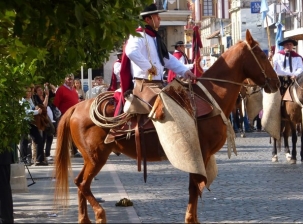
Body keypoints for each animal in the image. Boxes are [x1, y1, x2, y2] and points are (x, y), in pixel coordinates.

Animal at [52, 30, 280, 224]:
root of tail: (75, 107)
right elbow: (194, 187)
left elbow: (194, 187)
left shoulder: (200, 156)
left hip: (92, 157)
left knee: (80, 183)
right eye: (261, 54)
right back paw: (100, 214)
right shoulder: (200, 153)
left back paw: (84, 218)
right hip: (96, 156)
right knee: (83, 184)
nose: (277, 82)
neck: (211, 97)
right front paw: (190, 219)